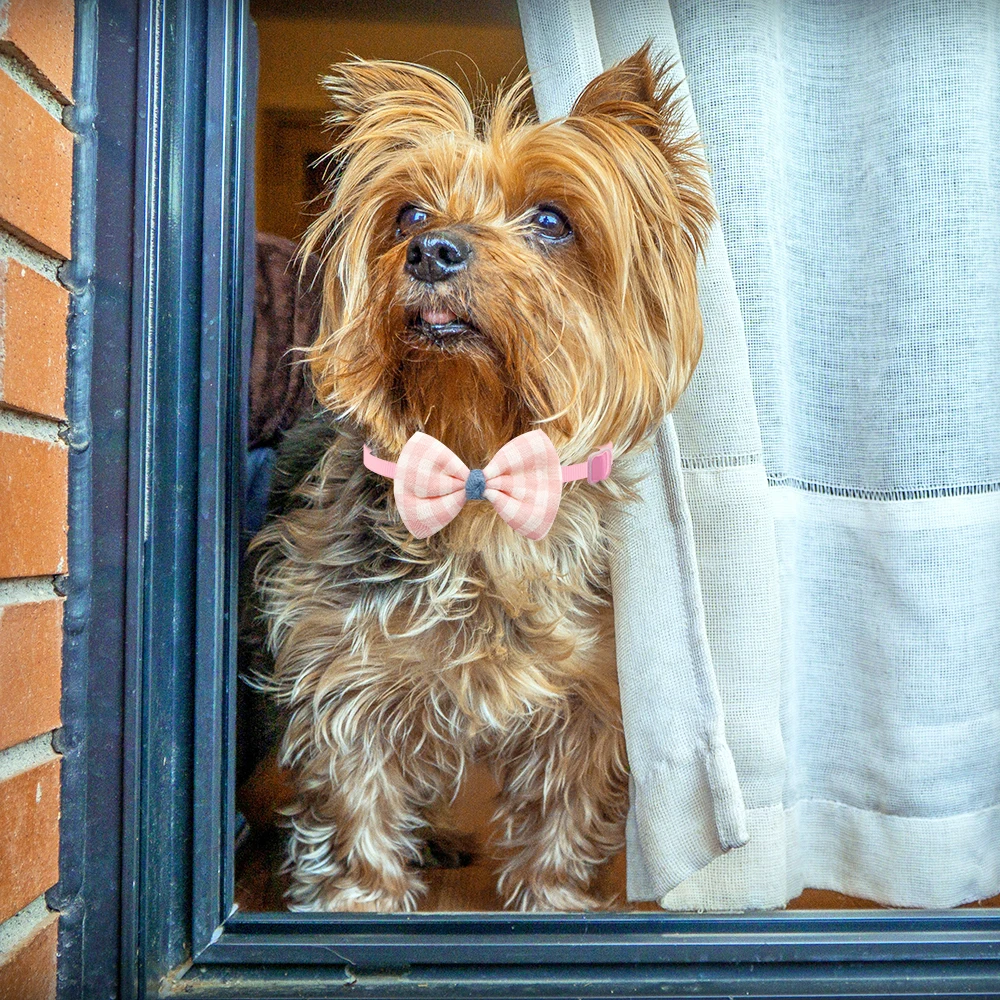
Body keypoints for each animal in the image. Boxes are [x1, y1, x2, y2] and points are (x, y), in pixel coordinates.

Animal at [252, 43, 720, 912]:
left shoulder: (586, 695)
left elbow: (565, 811)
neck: (475, 456)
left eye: (552, 221)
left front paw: (554, 904)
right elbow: (356, 799)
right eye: (408, 215)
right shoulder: (346, 668)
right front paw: (359, 904)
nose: (432, 250)